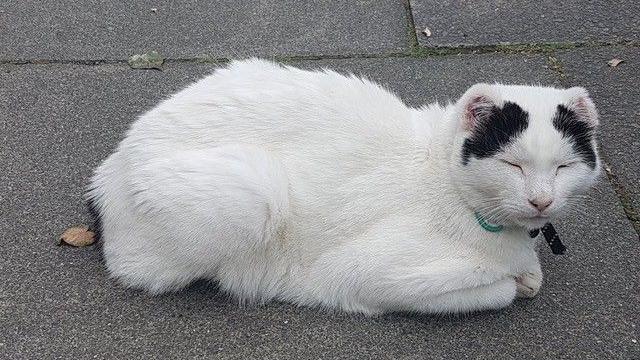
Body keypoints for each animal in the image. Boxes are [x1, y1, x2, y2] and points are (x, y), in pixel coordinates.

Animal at [86, 57, 600, 314]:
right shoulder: (371, 274)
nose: (541, 200)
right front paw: (514, 280)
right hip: (253, 189)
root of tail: (109, 168)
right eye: (513, 164)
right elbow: (499, 291)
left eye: (563, 167)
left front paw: (527, 270)